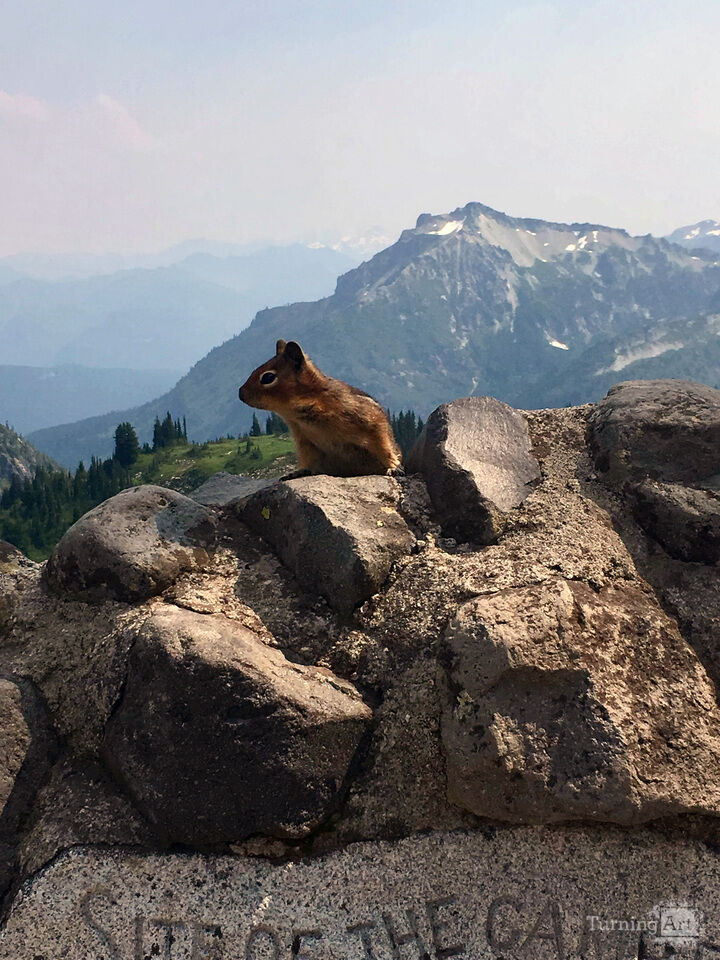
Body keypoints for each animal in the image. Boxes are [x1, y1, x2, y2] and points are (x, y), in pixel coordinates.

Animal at [238, 339, 402, 479]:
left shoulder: (370, 420)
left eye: (267, 377)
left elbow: (383, 444)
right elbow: (307, 460)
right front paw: (299, 471)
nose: (240, 394)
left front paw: (393, 467)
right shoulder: (304, 441)